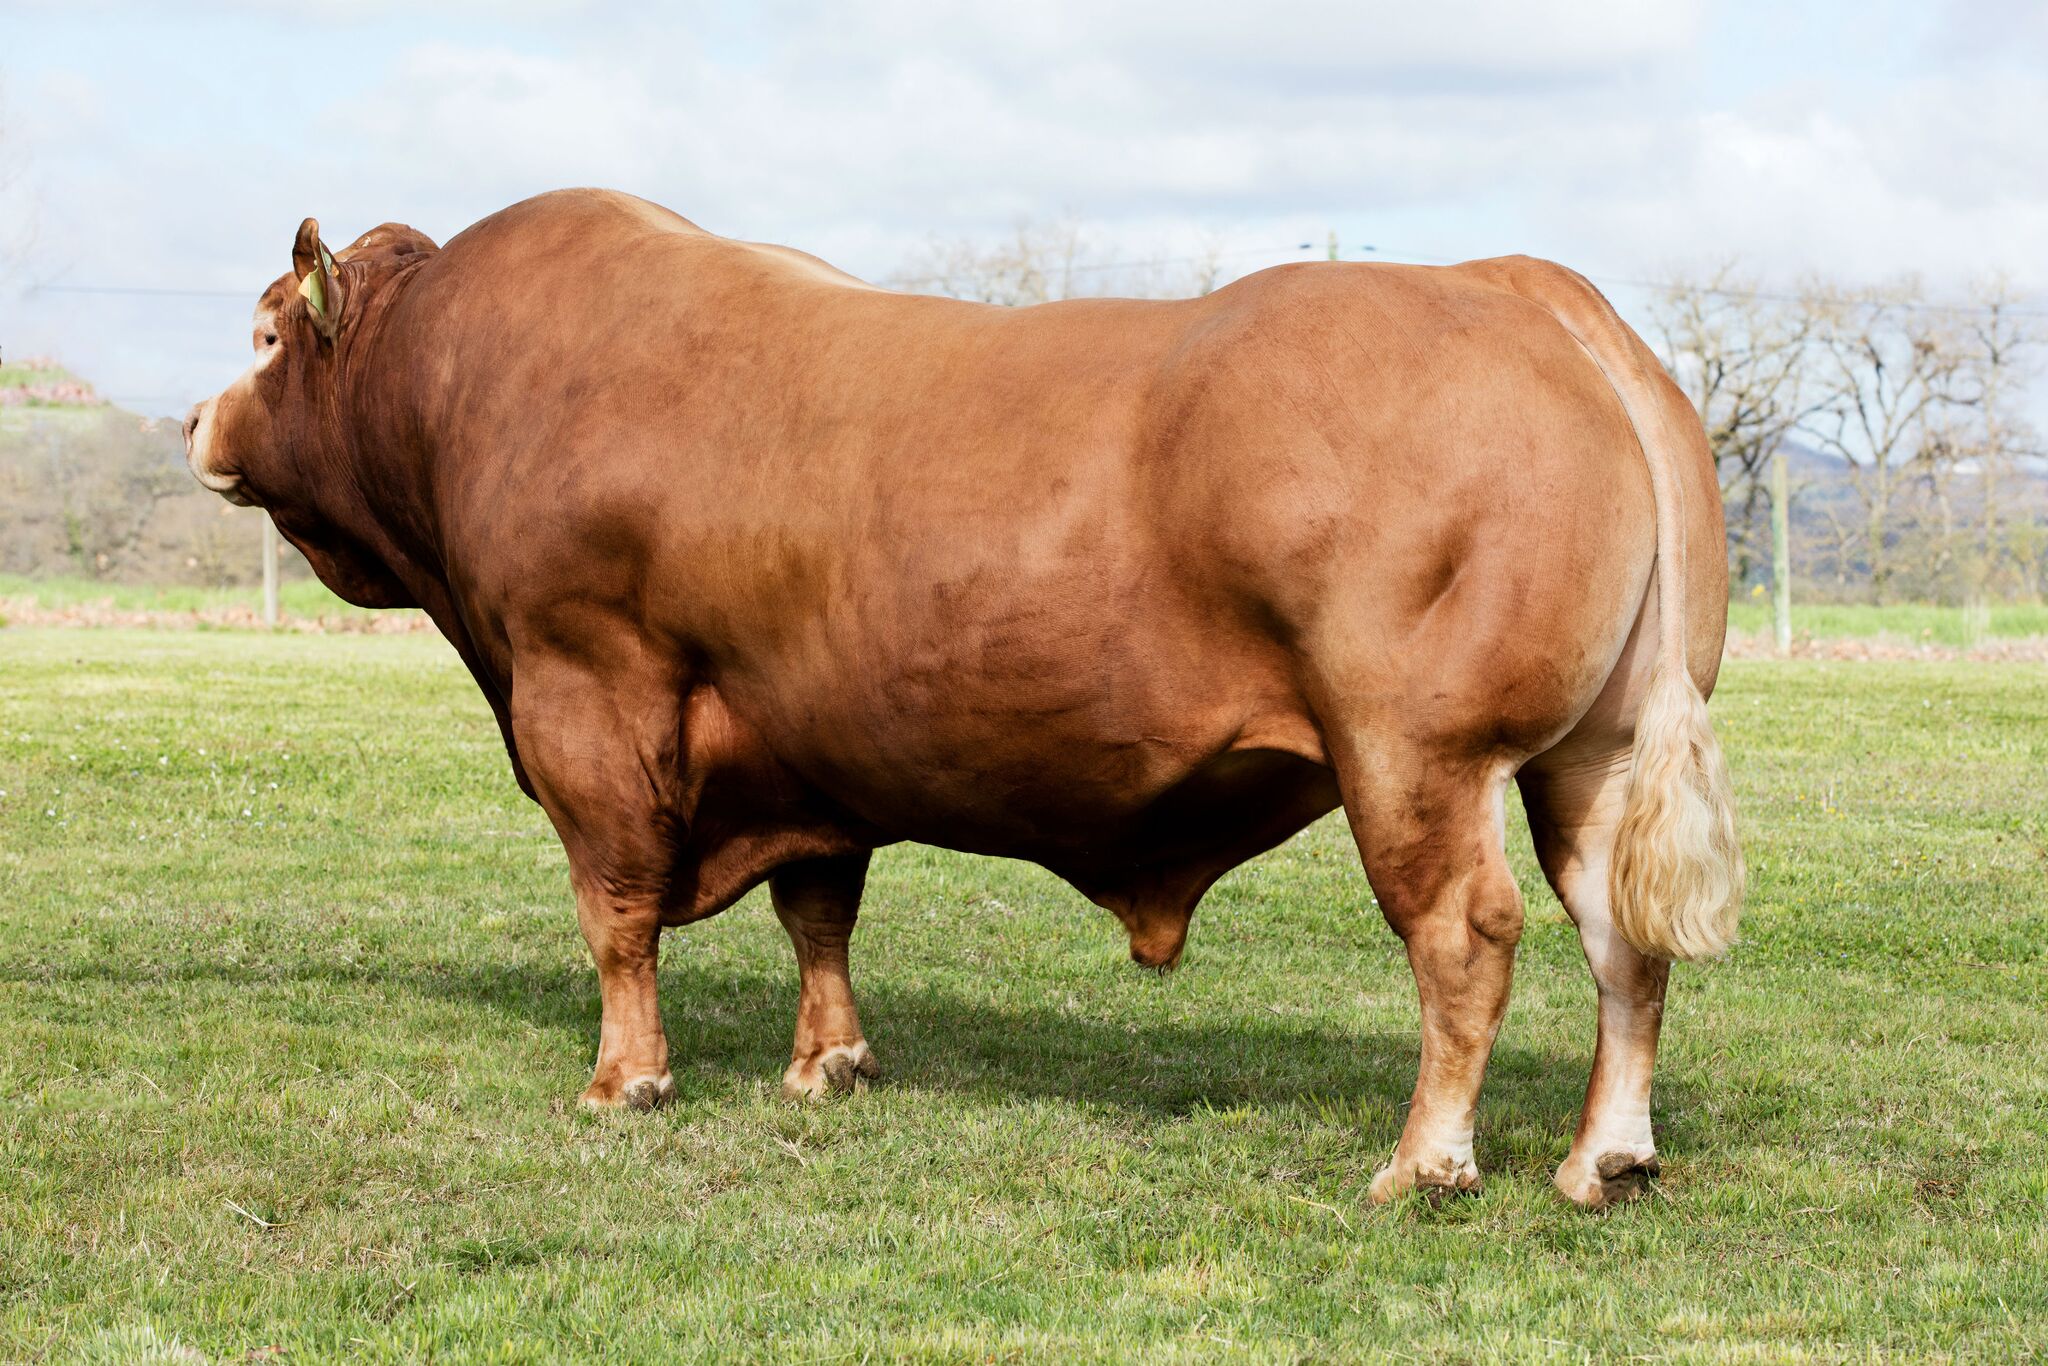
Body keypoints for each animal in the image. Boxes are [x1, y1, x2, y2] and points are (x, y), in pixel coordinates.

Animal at [185, 189, 1742, 1210]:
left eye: (263, 337)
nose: (195, 419)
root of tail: (1520, 285)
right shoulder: (798, 739)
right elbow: (818, 906)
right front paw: (829, 1062)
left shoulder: (586, 690)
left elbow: (614, 906)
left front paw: (625, 1079)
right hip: (1592, 754)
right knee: (1620, 938)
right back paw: (1604, 1158)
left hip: (1417, 752)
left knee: (1465, 935)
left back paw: (1425, 1162)